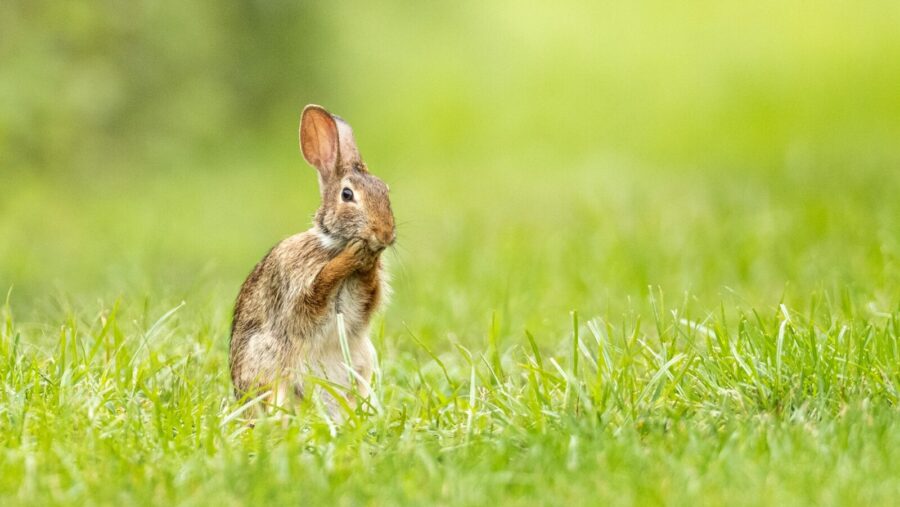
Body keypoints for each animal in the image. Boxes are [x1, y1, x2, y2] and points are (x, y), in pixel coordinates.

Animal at [229, 104, 394, 416]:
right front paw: (353, 255)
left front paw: (367, 261)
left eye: (386, 191)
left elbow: (369, 294)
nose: (385, 234)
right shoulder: (296, 288)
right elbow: (318, 289)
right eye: (347, 195)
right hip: (268, 367)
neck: (332, 243)